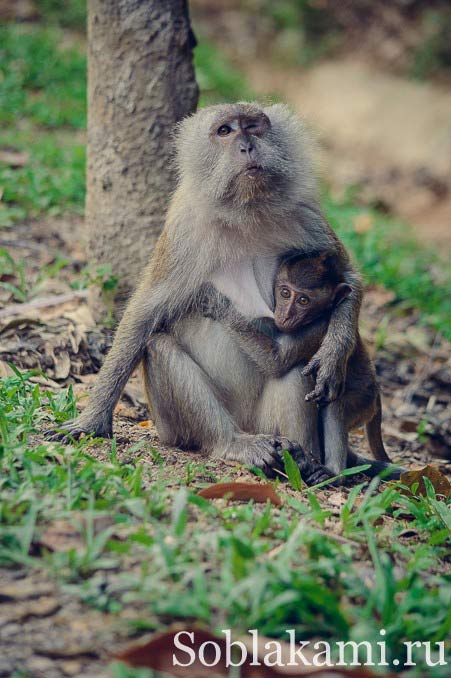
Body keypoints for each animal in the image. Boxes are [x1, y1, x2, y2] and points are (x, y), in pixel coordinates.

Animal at [46, 103, 364, 480]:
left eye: (254, 126)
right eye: (225, 131)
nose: (246, 147)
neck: (246, 211)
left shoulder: (306, 211)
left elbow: (348, 279)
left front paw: (333, 355)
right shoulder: (183, 226)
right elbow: (146, 311)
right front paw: (92, 421)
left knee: (292, 368)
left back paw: (302, 459)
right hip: (174, 427)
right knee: (160, 347)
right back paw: (233, 444)